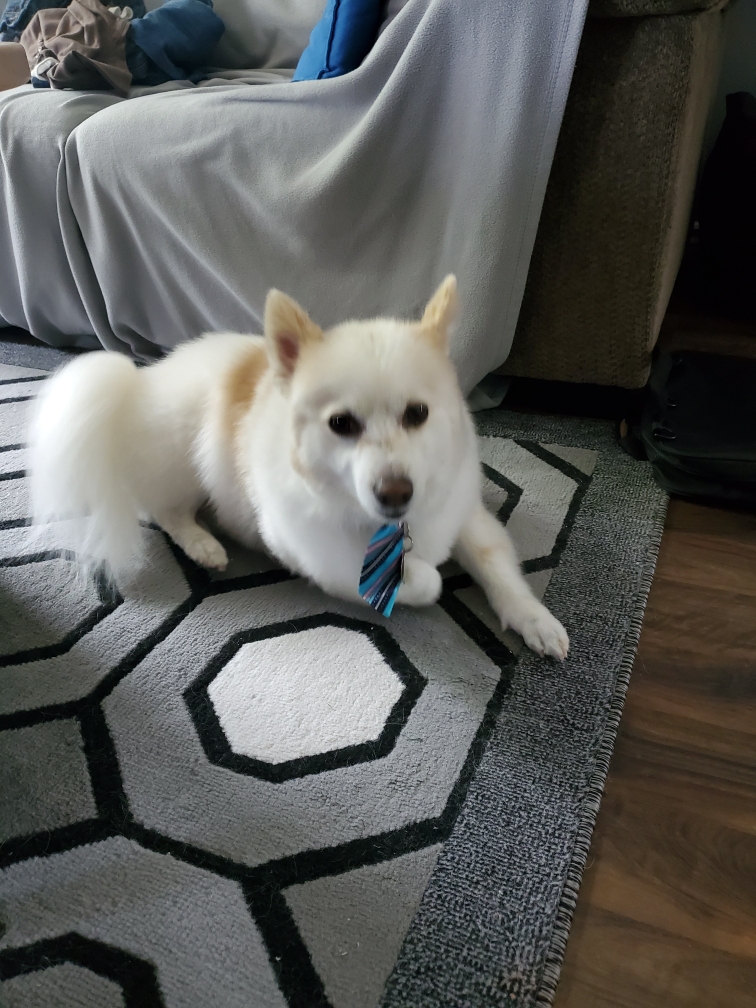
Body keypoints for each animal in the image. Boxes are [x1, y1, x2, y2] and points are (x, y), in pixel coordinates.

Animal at [29, 276, 568, 659]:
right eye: (341, 424)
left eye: (418, 414)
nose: (396, 492)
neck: (392, 527)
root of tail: (140, 381)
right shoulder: (330, 562)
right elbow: (425, 580)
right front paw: (422, 571)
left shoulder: (464, 513)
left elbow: (496, 565)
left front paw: (534, 619)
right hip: (184, 450)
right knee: (165, 510)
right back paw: (204, 543)